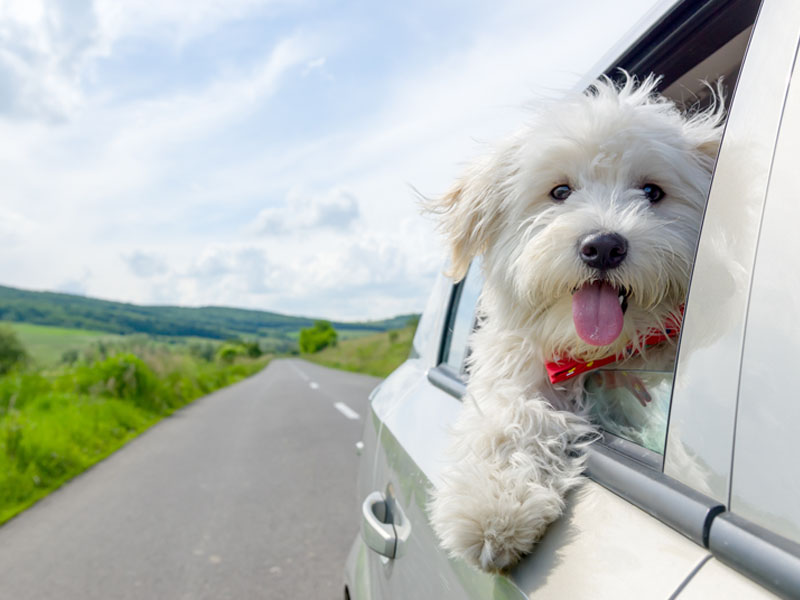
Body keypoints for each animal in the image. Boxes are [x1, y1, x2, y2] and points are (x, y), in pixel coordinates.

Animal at [428, 75, 720, 572]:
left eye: (652, 192)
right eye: (560, 192)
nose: (603, 246)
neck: (600, 352)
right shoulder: (518, 365)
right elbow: (510, 415)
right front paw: (490, 506)